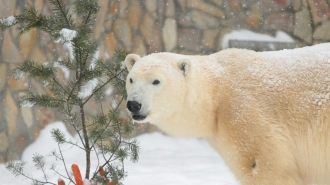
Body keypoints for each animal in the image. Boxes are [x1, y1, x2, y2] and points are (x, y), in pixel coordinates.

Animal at [125, 42, 330, 184]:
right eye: (131, 79)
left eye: (156, 81)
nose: (133, 104)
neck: (217, 90)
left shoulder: (243, 110)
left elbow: (263, 165)